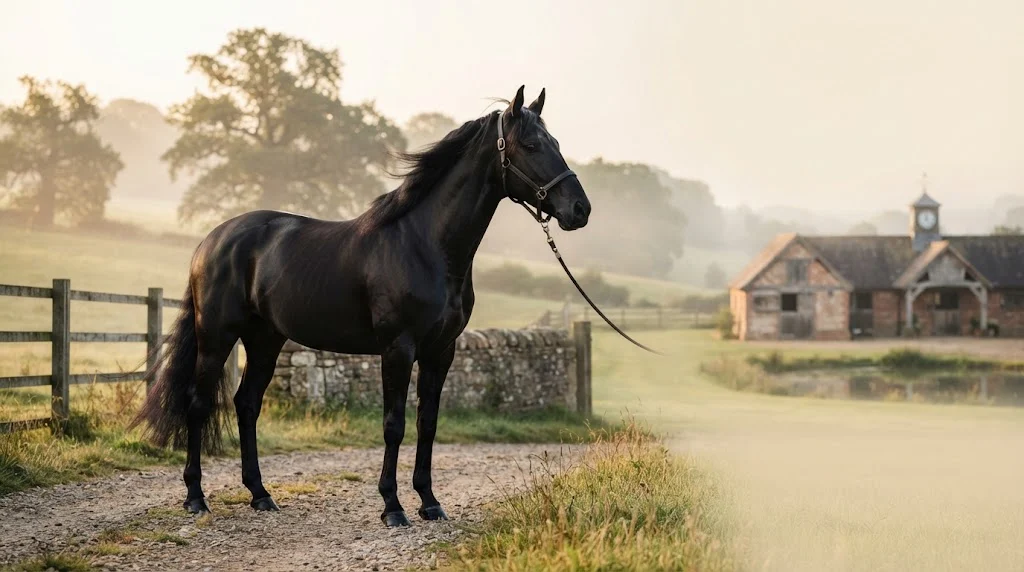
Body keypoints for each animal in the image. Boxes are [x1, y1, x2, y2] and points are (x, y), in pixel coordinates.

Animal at [132, 86, 592, 527]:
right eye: (530, 144)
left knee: (247, 404)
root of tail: (211, 240)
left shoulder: (441, 351)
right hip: (217, 336)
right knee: (197, 403)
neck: (425, 245)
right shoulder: (398, 348)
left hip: (265, 340)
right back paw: (196, 498)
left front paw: (429, 502)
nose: (580, 209)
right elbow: (394, 425)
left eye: (555, 141)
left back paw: (261, 495)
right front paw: (392, 506)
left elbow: (427, 423)